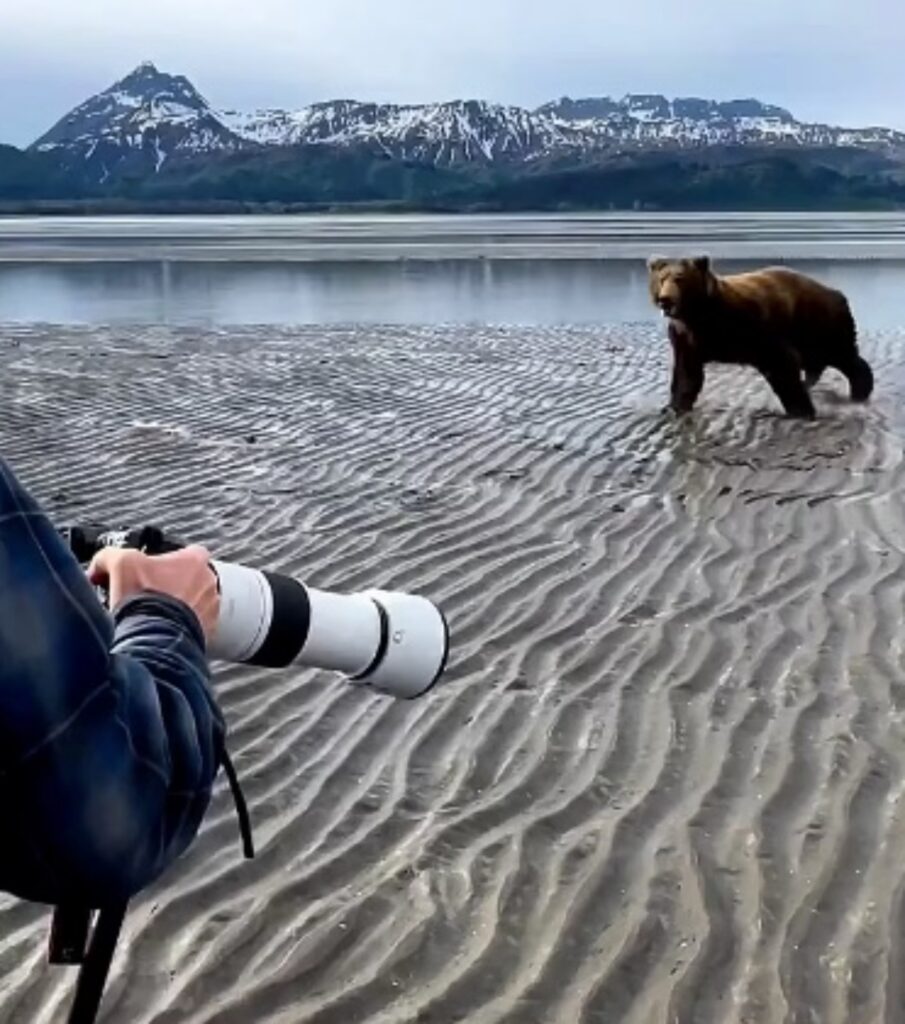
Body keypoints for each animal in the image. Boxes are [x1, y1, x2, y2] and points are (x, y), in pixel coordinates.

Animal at [647, 253, 872, 417]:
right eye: (661, 279)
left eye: (680, 278)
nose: (665, 300)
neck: (700, 315)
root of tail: (836, 292)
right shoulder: (686, 337)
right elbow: (687, 373)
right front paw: (673, 407)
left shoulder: (753, 327)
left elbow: (781, 362)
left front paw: (801, 410)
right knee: (819, 360)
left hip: (819, 323)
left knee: (843, 355)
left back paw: (860, 391)